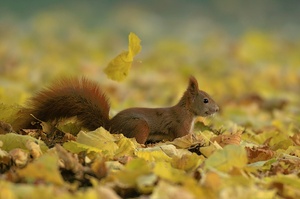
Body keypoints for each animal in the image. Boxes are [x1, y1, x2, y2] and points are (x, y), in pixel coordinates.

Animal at [14, 76, 219, 143]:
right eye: (205, 100)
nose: (217, 109)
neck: (188, 112)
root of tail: (109, 127)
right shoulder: (179, 125)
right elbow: (182, 137)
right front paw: (199, 139)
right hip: (140, 127)